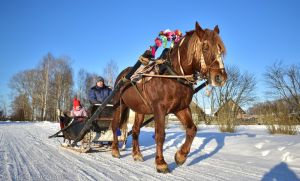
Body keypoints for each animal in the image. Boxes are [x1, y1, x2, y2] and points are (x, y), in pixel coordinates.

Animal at [110, 21, 227, 173]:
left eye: (220, 49)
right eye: (205, 47)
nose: (221, 77)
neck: (173, 75)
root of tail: (123, 75)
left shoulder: (181, 108)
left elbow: (192, 129)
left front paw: (181, 156)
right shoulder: (159, 109)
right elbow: (160, 135)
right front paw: (161, 163)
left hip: (140, 110)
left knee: (135, 130)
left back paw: (136, 154)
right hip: (119, 106)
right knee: (115, 127)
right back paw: (115, 150)